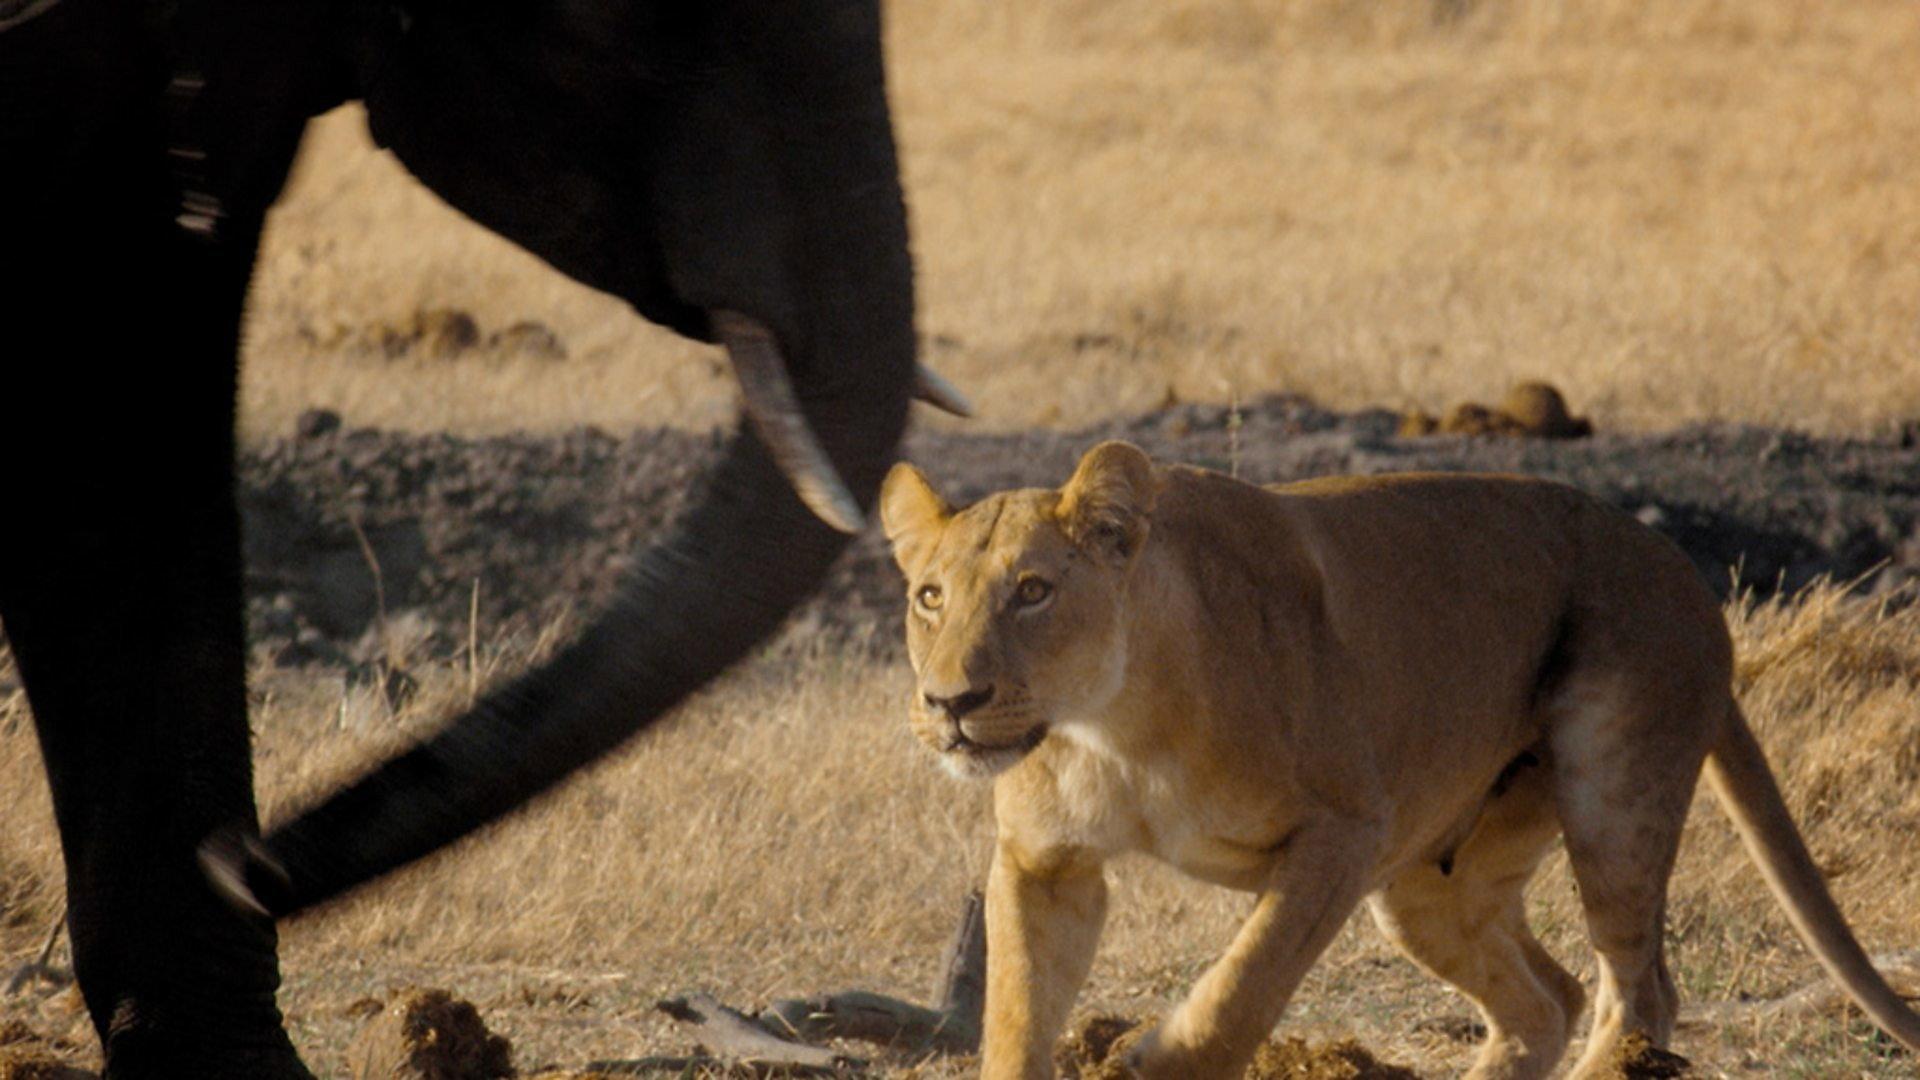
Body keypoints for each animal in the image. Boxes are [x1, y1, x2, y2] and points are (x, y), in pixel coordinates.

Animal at [879, 441, 1920, 1080]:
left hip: (1614, 788)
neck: (1111, 728)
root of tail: (1688, 576)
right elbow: (1017, 1017)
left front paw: (1149, 1059)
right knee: (1549, 998)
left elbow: (1242, 987)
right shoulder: (1045, 864)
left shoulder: (1344, 829)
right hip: (1429, 885)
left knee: (1639, 990)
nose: (951, 704)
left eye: (1033, 591)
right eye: (930, 596)